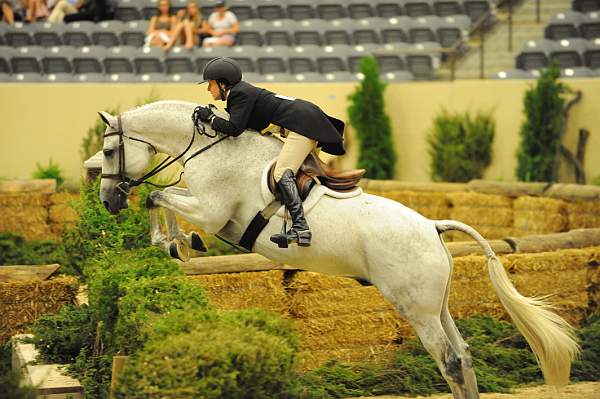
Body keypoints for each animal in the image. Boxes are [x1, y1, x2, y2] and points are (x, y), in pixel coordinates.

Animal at [99, 101, 580, 399]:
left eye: (106, 150)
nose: (107, 201)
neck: (211, 145)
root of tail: (432, 226)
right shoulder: (205, 206)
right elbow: (162, 198)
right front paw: (179, 244)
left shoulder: (213, 211)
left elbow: (156, 197)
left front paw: (174, 242)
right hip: (436, 305)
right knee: (461, 355)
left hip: (417, 310)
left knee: (449, 361)